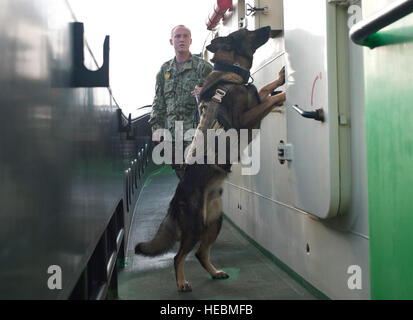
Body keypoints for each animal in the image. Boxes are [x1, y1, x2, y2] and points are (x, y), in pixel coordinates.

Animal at [135, 26, 286, 292]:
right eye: (247, 30)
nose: (268, 28)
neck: (231, 73)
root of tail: (175, 201)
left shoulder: (254, 103)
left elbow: (266, 88)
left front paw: (280, 77)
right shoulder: (246, 119)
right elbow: (270, 98)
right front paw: (283, 94)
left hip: (215, 221)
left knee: (200, 253)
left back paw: (215, 272)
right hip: (195, 226)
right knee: (179, 256)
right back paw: (182, 282)